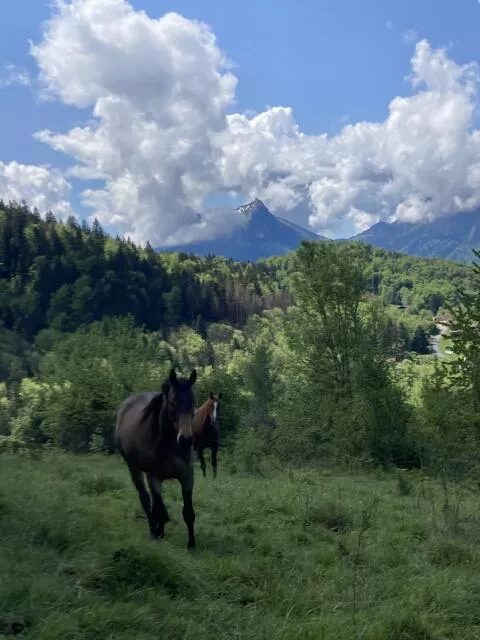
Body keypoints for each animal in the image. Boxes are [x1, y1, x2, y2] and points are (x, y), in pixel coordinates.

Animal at [115, 368, 198, 550]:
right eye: (173, 402)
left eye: (193, 403)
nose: (186, 440)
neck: (168, 443)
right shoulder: (154, 476)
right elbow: (160, 508)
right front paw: (158, 533)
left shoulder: (187, 475)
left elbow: (188, 512)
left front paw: (191, 544)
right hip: (134, 469)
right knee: (145, 499)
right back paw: (153, 529)